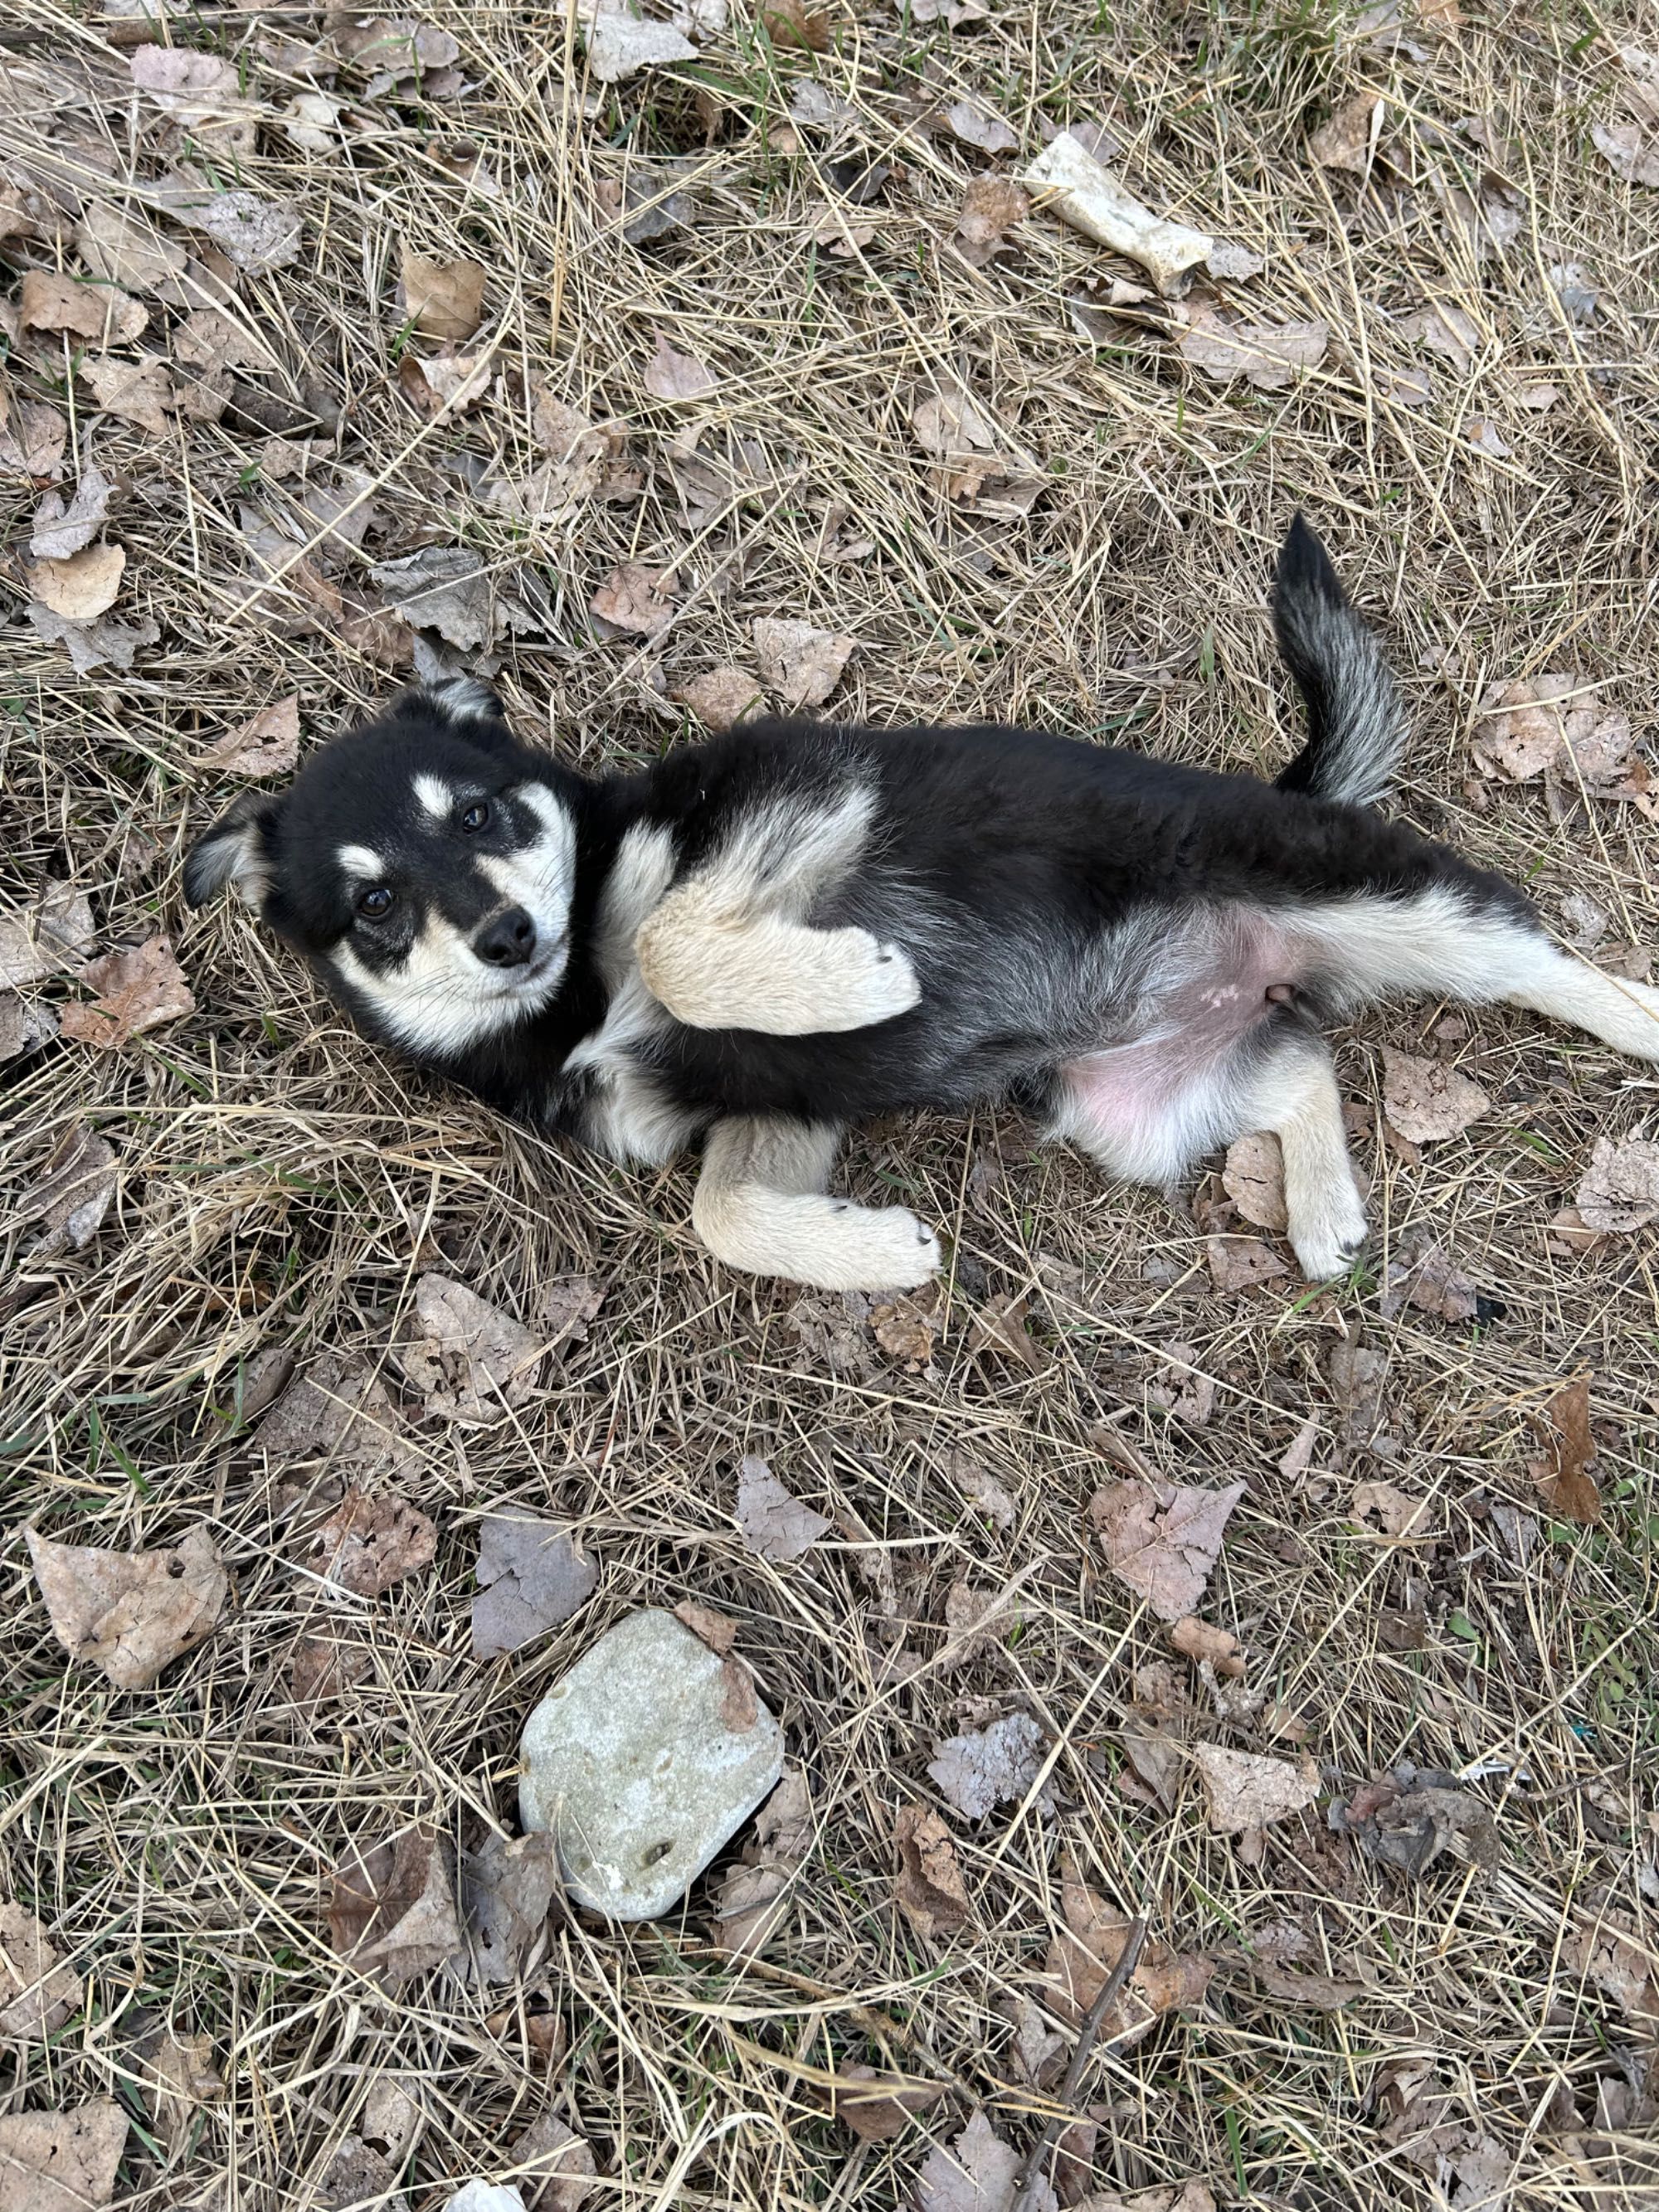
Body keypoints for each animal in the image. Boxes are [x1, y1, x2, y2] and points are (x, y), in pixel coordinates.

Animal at [184, 524, 1659, 1291]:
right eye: (375, 905)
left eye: (481, 817)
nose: (508, 938)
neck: (574, 995)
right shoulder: (773, 1108)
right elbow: (728, 1213)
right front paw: (876, 1251)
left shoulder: (799, 799)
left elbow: (677, 929)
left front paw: (858, 979)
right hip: (1128, 1104)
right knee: (1301, 1065)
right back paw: (1322, 1206)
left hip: (1379, 897)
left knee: (1533, 960)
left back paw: (1638, 1021)